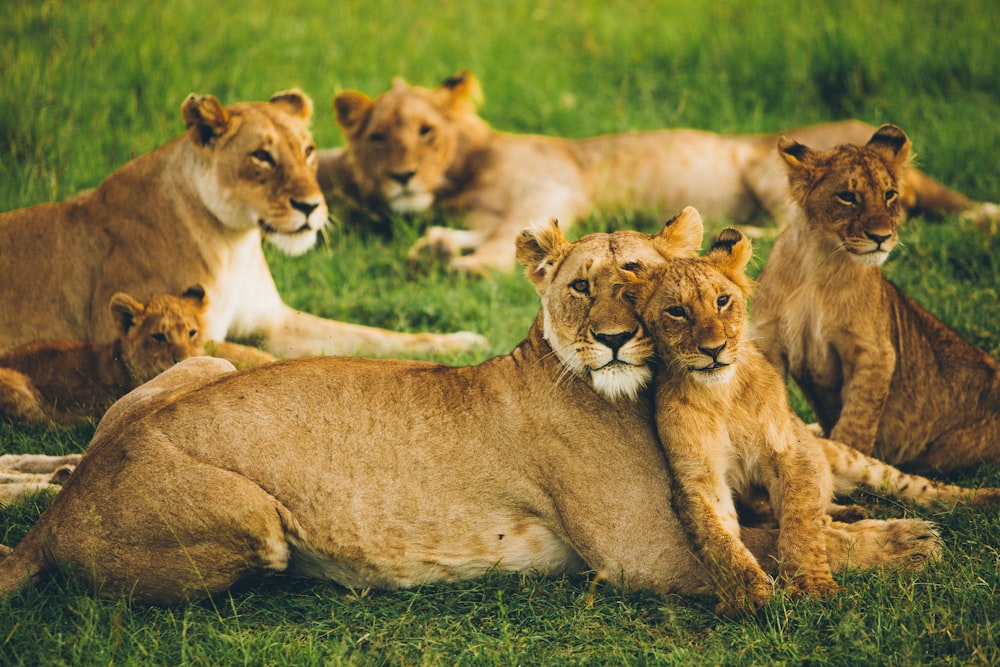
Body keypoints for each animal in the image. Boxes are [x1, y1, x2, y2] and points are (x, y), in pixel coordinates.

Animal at [0, 90, 484, 360]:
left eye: (308, 150)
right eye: (262, 156)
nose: (311, 206)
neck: (235, 243)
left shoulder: (276, 322)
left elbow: (373, 335)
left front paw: (462, 342)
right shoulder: (157, 333)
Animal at [320, 70, 1000, 274]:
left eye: (425, 132)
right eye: (378, 137)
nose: (402, 177)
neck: (462, 176)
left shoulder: (550, 187)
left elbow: (501, 244)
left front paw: (459, 264)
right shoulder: (495, 209)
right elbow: (485, 232)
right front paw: (436, 245)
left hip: (766, 166)